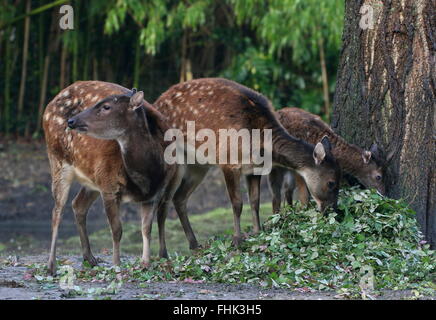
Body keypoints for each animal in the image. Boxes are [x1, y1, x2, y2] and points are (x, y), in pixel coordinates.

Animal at [42, 81, 182, 274]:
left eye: (106, 107)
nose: (71, 120)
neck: (145, 177)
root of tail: (47, 108)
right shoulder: (109, 186)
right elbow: (117, 229)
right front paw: (117, 264)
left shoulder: (154, 194)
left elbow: (146, 228)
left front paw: (145, 263)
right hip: (58, 160)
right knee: (57, 211)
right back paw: (51, 266)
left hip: (92, 179)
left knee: (78, 204)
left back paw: (90, 258)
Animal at [155, 78, 342, 245]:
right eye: (331, 183)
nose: (333, 212)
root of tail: (157, 102)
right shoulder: (228, 161)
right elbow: (237, 203)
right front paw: (237, 240)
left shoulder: (254, 168)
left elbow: (255, 201)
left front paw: (257, 231)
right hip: (172, 159)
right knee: (162, 203)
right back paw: (163, 254)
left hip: (199, 164)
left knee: (179, 198)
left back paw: (194, 244)